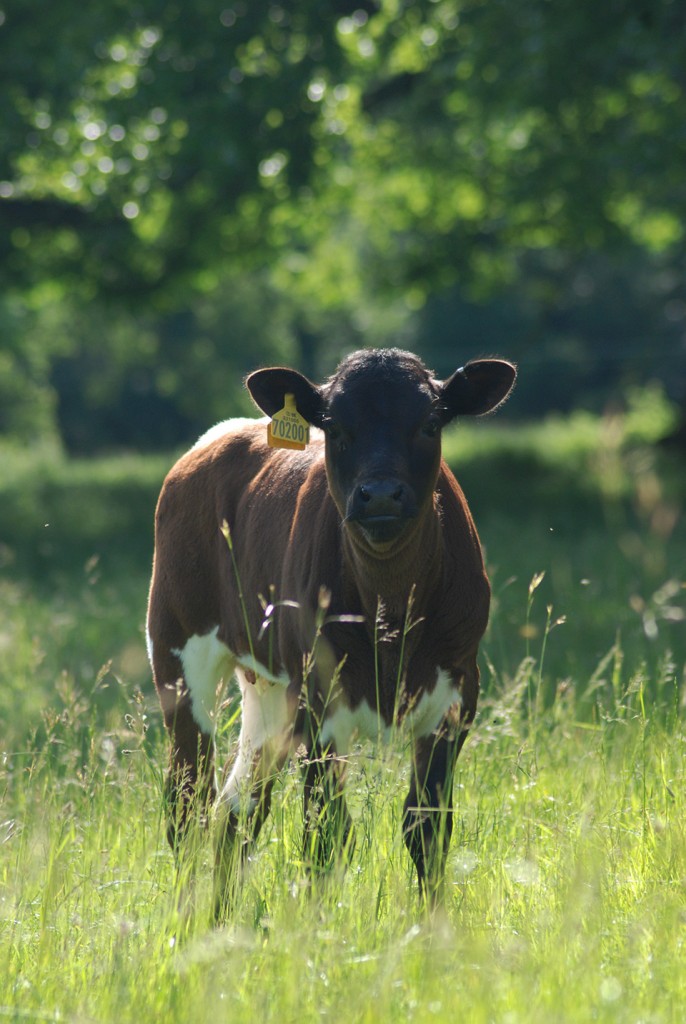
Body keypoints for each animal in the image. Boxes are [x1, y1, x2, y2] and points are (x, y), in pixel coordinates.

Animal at [149, 348, 516, 917]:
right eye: (335, 427)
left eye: (430, 423)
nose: (381, 494)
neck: (390, 612)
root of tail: (221, 436)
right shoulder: (320, 698)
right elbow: (326, 832)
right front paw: (320, 929)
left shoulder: (459, 692)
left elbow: (428, 826)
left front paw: (434, 928)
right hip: (179, 653)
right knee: (188, 805)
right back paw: (189, 920)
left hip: (270, 689)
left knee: (238, 810)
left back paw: (221, 919)